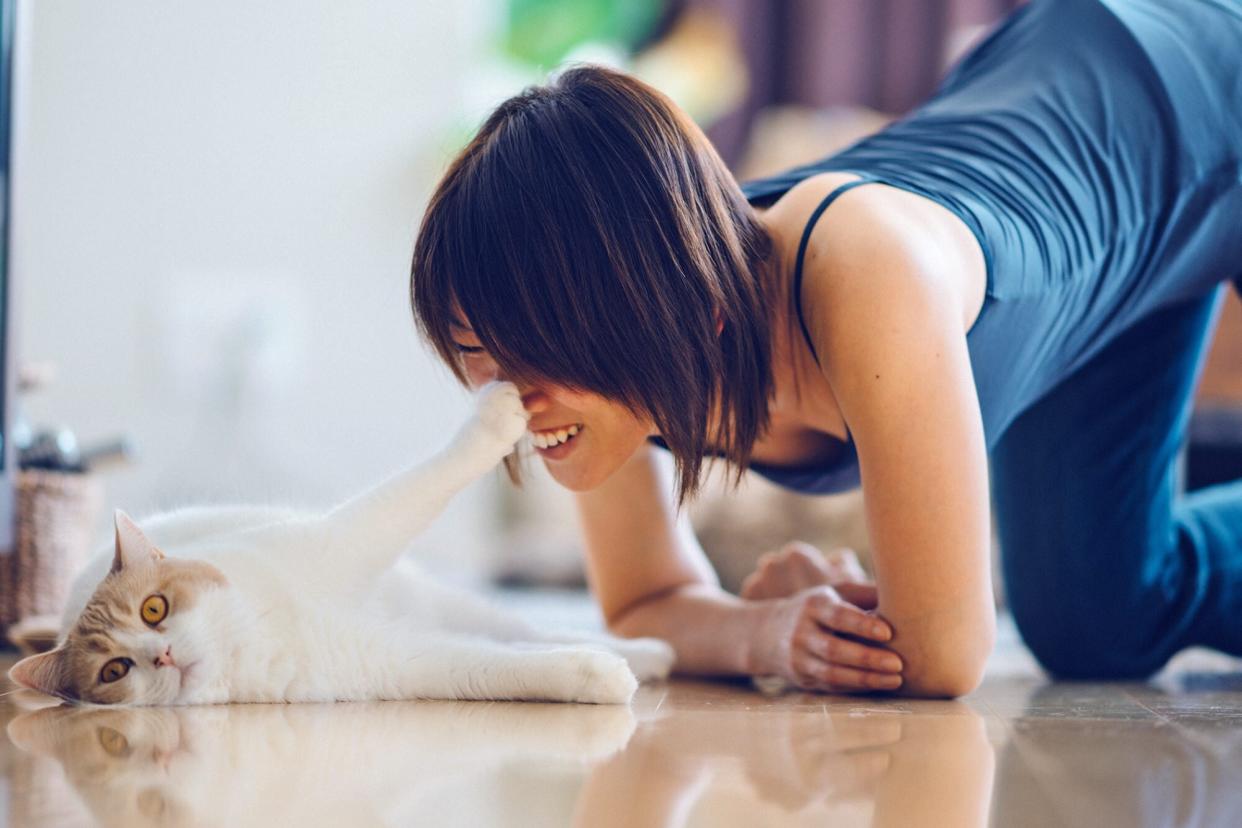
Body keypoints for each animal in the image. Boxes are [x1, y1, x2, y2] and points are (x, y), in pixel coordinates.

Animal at [4, 382, 675, 705]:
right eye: (115, 670)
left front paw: (493, 419)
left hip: (450, 602)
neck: (258, 633)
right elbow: (502, 668)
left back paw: (651, 651)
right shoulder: (401, 663)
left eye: (153, 608)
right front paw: (594, 678)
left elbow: (424, 481)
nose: (161, 656)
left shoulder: (347, 537)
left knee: (530, 628)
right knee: (518, 641)